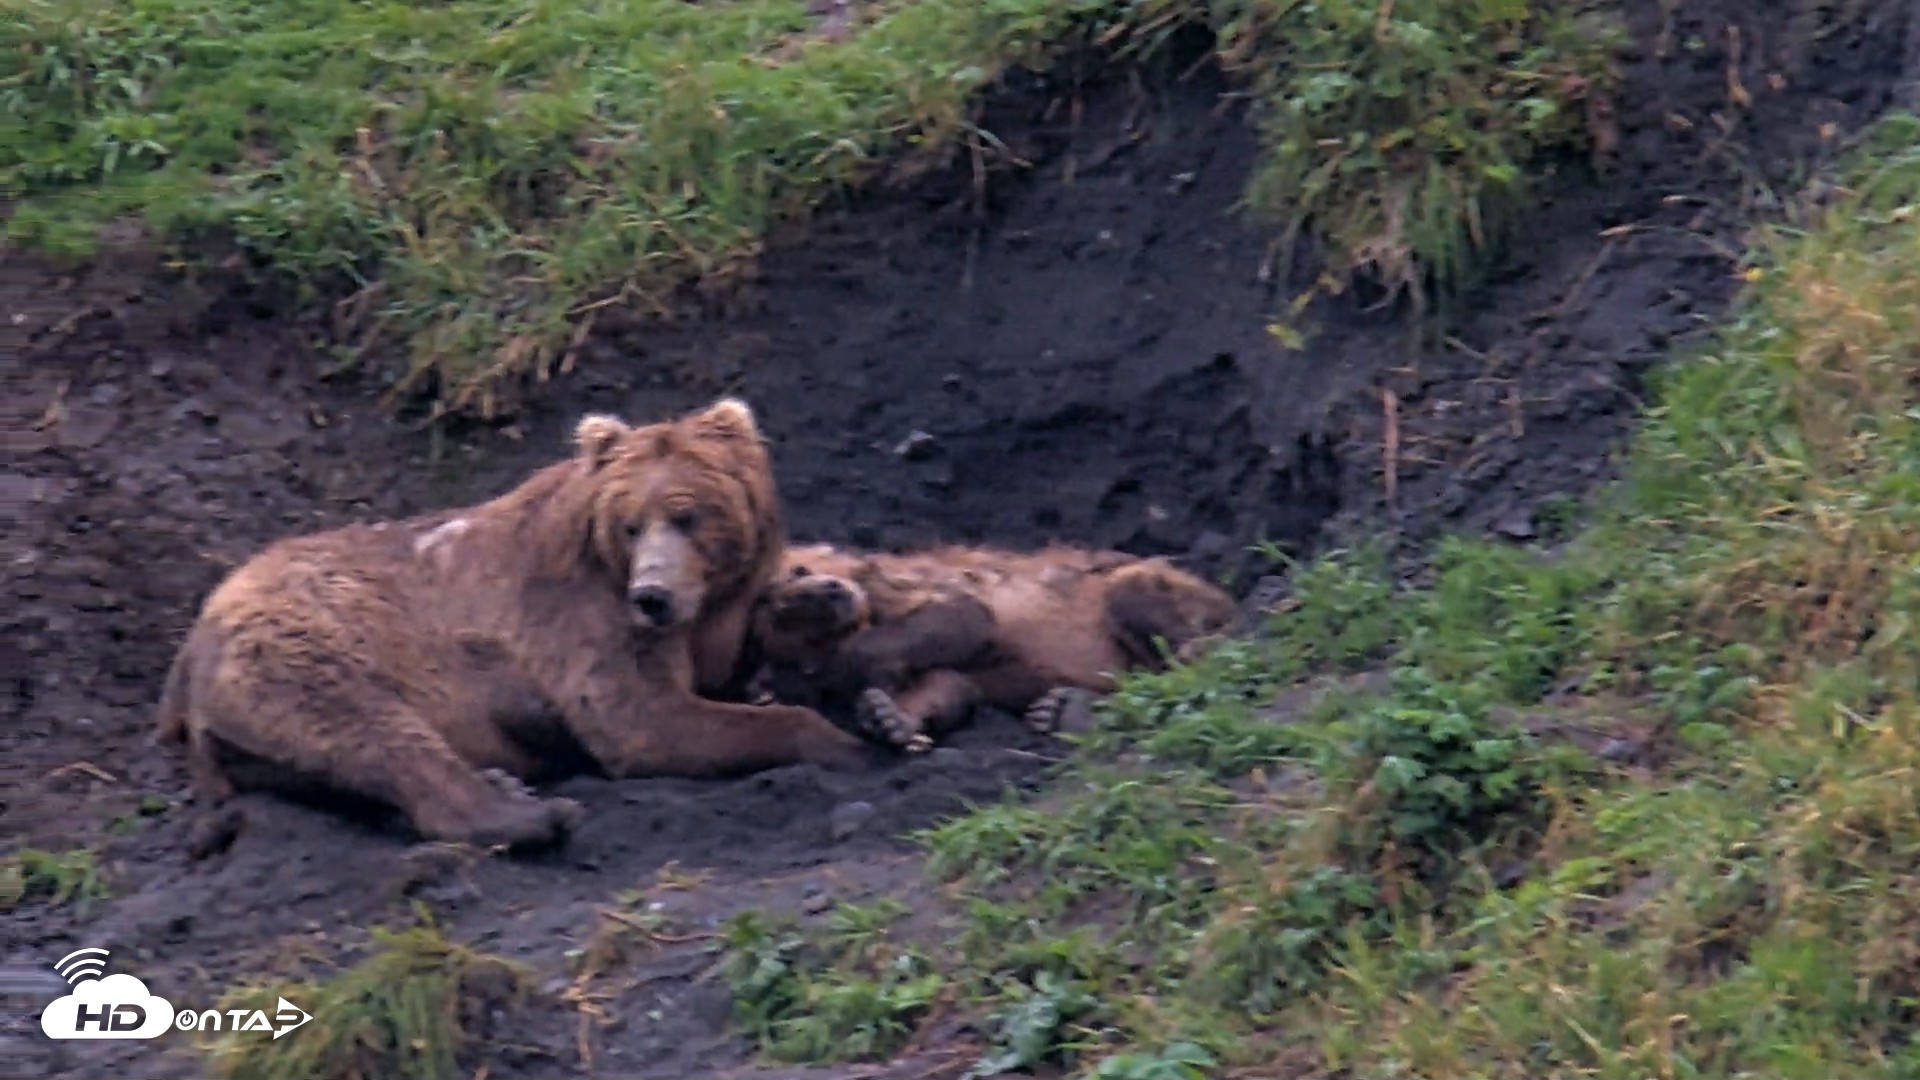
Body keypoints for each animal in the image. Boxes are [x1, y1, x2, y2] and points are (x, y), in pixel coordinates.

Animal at [153, 399, 900, 852]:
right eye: (631, 524)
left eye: (689, 514)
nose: (653, 596)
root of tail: (187, 648)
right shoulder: (578, 613)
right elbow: (645, 719)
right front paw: (845, 741)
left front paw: (820, 601)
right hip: (304, 643)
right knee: (366, 725)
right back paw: (528, 813)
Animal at [740, 542, 1239, 751]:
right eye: (779, 610)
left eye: (800, 569)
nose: (828, 592)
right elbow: (947, 683)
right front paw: (889, 718)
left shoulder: (926, 592)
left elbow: (962, 617)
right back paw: (1062, 709)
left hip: (1153, 587)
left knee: (1138, 595)